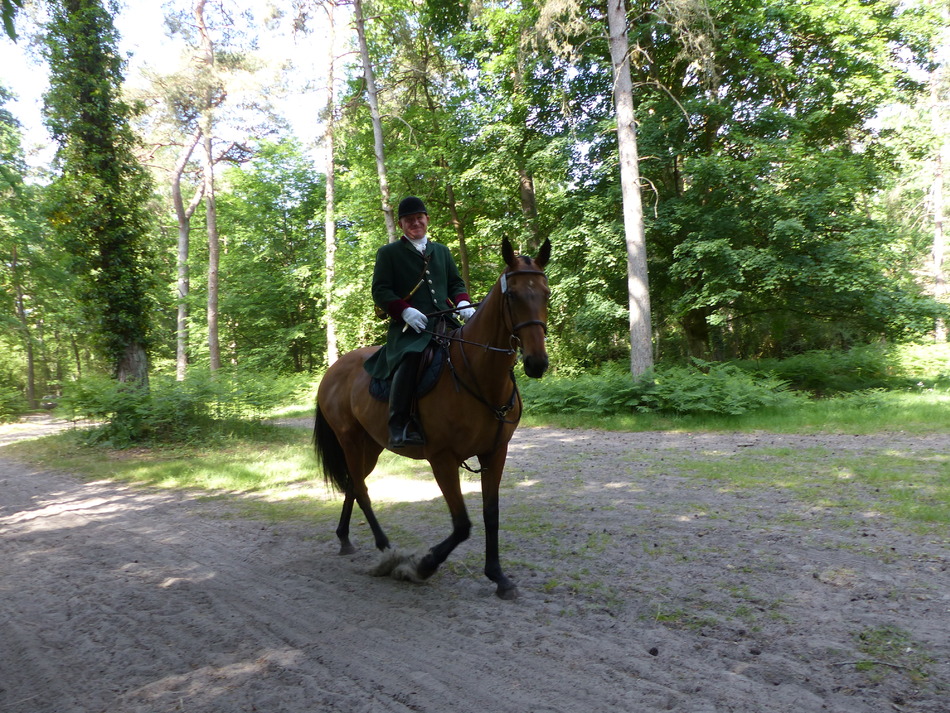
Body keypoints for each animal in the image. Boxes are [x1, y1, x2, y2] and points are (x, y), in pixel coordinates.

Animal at [314, 236, 552, 596]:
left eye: (546, 293)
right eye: (512, 295)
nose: (537, 363)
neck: (479, 373)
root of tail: (333, 370)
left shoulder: (495, 452)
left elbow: (491, 514)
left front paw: (498, 576)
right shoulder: (442, 458)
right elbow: (462, 524)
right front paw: (422, 566)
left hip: (371, 445)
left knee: (354, 485)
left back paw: (345, 539)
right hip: (350, 440)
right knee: (362, 490)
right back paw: (386, 549)